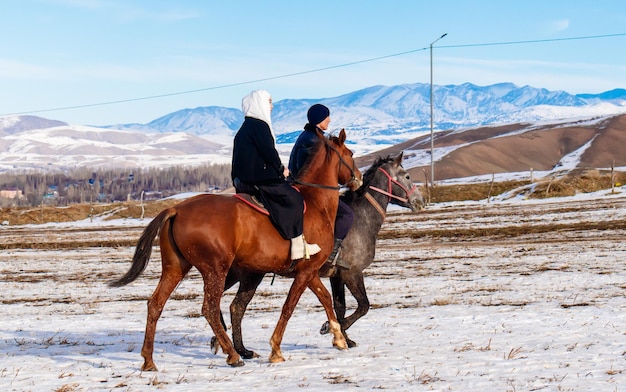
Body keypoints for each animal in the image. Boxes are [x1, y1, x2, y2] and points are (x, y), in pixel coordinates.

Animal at [109, 130, 358, 370]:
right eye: (351, 153)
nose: (358, 177)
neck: (316, 203)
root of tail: (176, 209)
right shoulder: (306, 271)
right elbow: (289, 307)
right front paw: (276, 349)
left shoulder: (309, 271)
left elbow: (325, 298)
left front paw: (338, 337)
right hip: (215, 269)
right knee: (209, 308)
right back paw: (233, 354)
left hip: (176, 268)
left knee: (156, 304)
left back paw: (149, 360)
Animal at [212, 152, 422, 356]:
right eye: (407, 176)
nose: (420, 201)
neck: (363, 218)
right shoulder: (352, 273)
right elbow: (363, 306)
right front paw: (330, 328)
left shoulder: (336, 276)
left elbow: (340, 306)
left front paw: (344, 337)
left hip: (245, 274)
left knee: (233, 306)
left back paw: (234, 345)